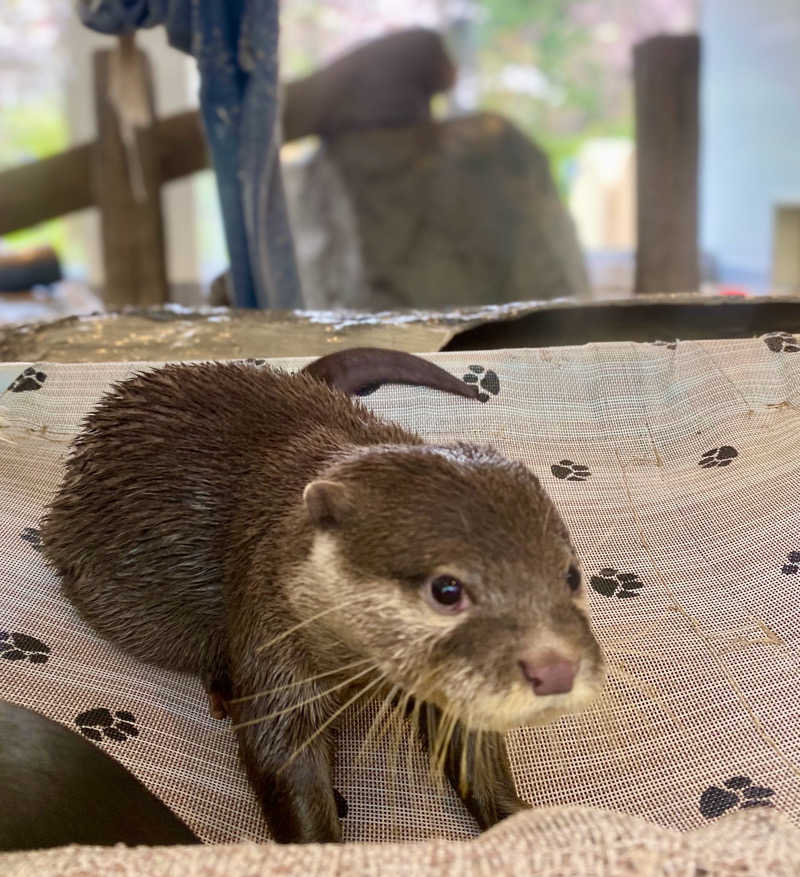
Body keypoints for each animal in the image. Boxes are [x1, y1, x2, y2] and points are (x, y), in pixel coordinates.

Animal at [39, 354, 608, 840]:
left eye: (570, 576)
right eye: (447, 589)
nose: (555, 667)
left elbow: (473, 747)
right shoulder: (271, 625)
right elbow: (281, 753)